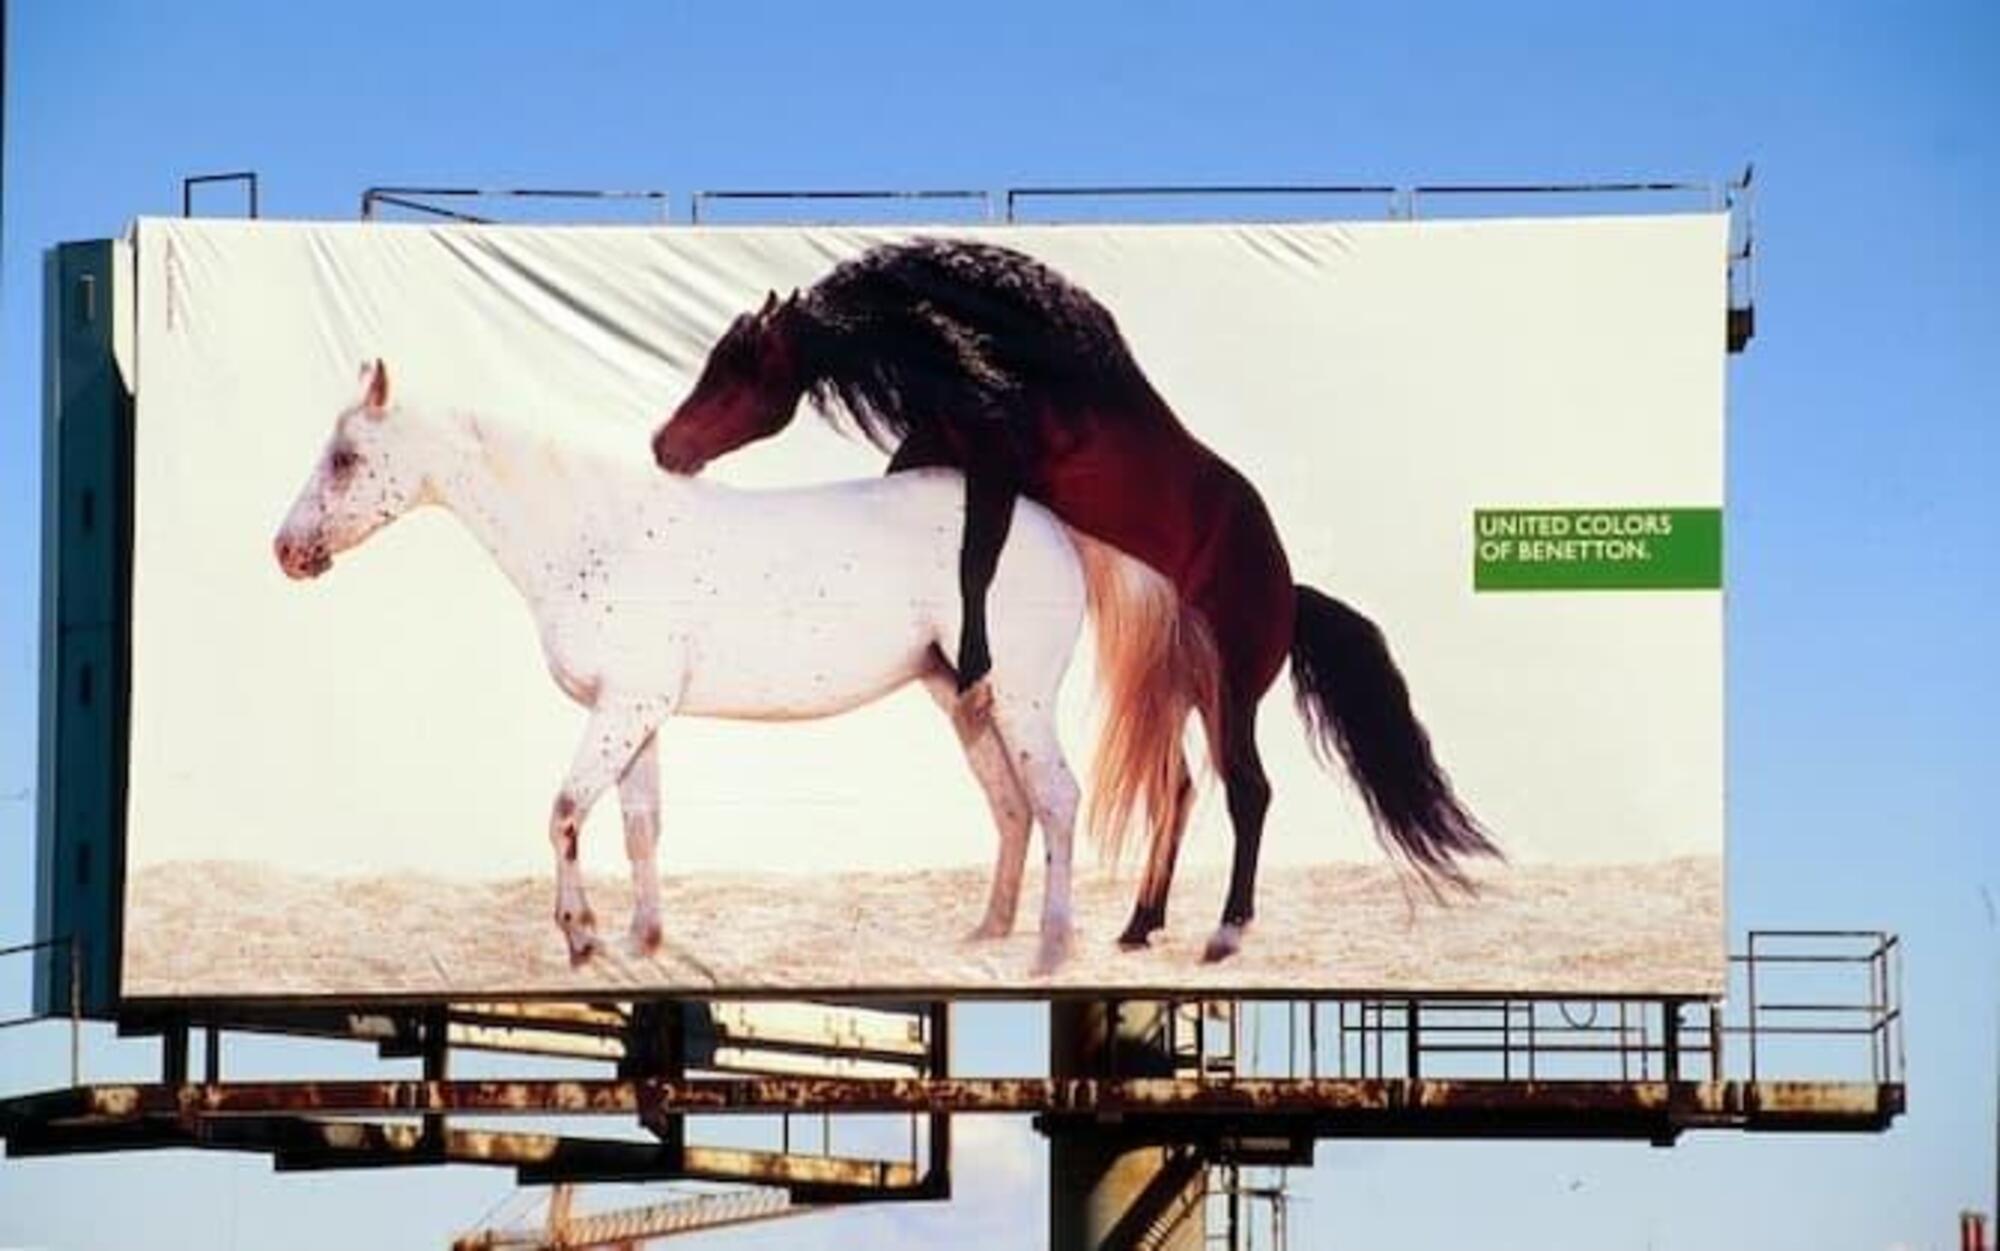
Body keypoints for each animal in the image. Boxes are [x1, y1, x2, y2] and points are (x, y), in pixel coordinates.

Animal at [270, 359, 1144, 975]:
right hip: (965, 697)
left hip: (1023, 700)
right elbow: (640, 827)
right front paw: (643, 938)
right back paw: (987, 932)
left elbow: (564, 811)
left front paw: (582, 940)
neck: (595, 533)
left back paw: (1049, 951)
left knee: (1056, 800)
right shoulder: (638, 716)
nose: (285, 549)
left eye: (345, 457)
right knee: (1011, 805)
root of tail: (1051, 524)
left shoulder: (623, 710)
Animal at [648, 238, 1496, 955]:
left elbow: (975, 555)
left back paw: (1224, 931)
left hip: (1233, 694)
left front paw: (972, 662)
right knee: (1179, 788)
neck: (1020, 370)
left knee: (1247, 791)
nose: (664, 446)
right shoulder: (944, 444)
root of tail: (1290, 589)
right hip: (1181, 686)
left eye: (736, 370)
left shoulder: (998, 464)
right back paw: (1140, 924)